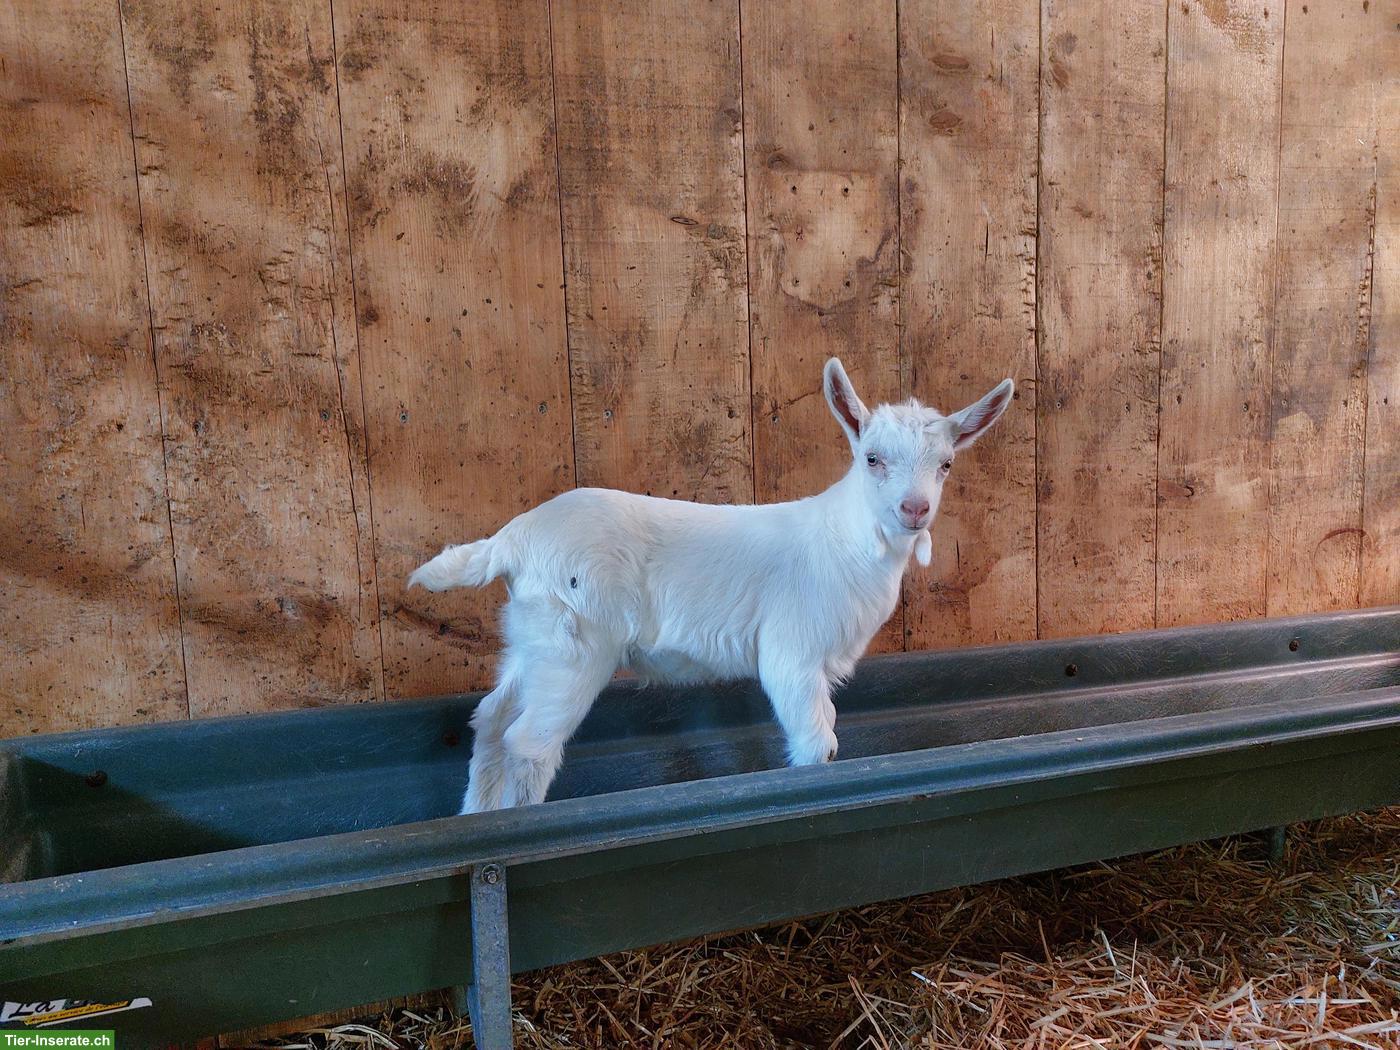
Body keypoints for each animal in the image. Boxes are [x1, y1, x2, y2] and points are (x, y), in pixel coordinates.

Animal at [409, 358, 1013, 812]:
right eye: (872, 459)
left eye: (947, 464)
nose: (915, 509)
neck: (845, 542)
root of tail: (512, 539)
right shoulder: (793, 653)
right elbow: (818, 746)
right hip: (573, 645)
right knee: (529, 742)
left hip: (532, 639)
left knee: (491, 720)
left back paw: (480, 817)